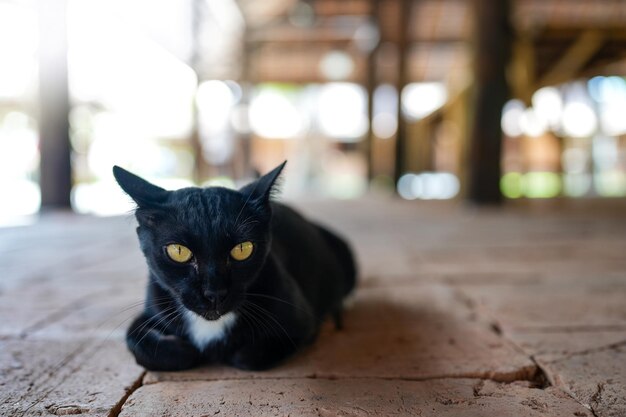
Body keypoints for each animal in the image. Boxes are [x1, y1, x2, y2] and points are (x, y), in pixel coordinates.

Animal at [113, 161, 356, 368]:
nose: (214, 293)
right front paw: (186, 351)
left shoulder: (301, 323)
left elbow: (247, 356)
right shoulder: (150, 311)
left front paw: (225, 351)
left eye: (242, 249)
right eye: (178, 252)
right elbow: (136, 342)